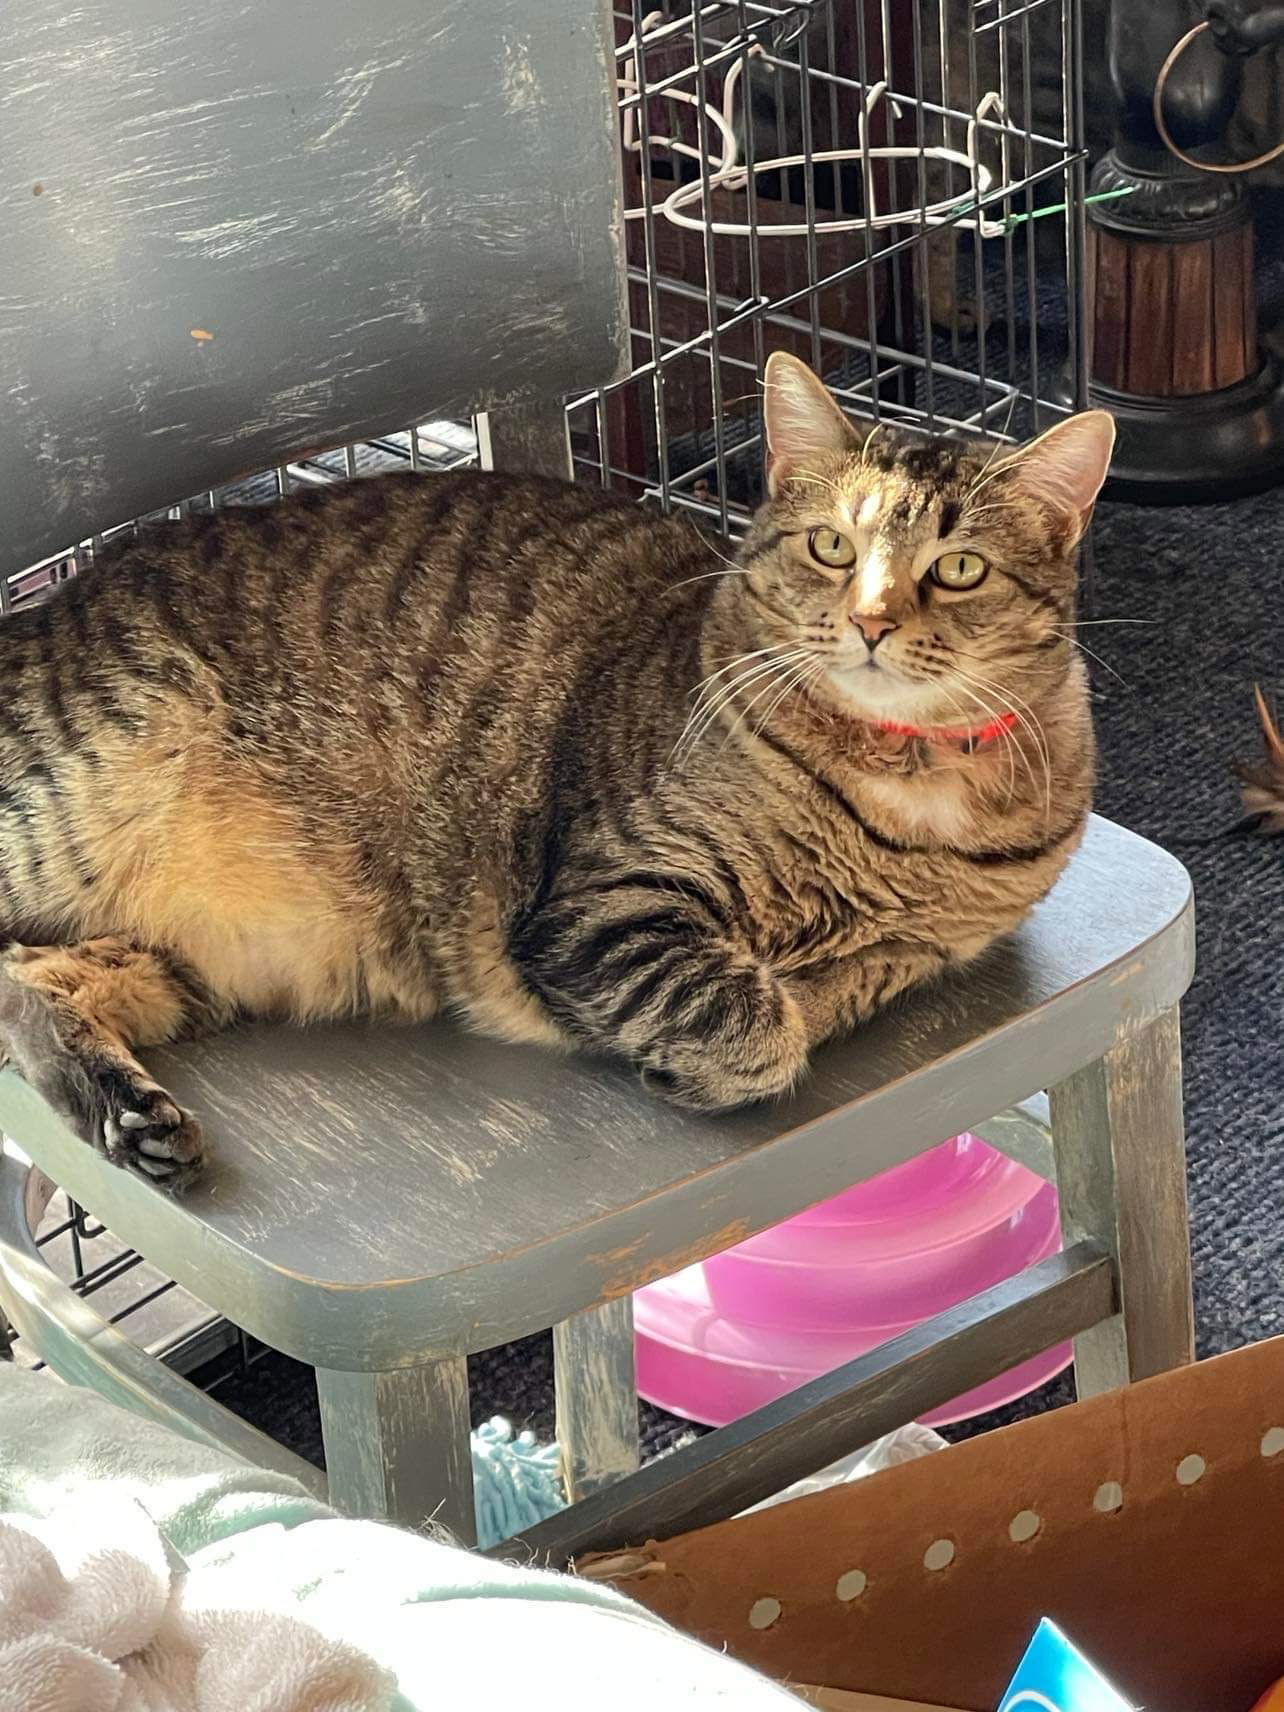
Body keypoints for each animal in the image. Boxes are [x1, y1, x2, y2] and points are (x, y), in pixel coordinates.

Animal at [0, 357, 1109, 1191]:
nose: (873, 622)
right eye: (833, 547)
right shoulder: (600, 899)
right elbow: (752, 1023)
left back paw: (129, 1116)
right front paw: (713, 1049)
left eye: (958, 569)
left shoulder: (916, 950)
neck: (906, 794)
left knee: (31, 988)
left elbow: (828, 991)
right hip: (77, 794)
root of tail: (43, 609)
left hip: (169, 959)